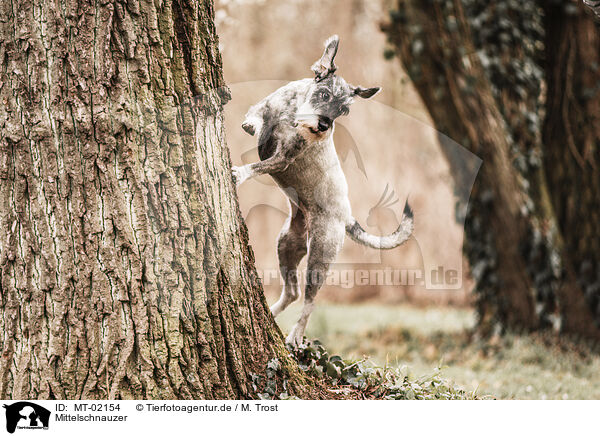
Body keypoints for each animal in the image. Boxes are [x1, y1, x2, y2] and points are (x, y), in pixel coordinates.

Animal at [232, 35, 414, 346]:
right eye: (325, 95)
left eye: (345, 110)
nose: (323, 126)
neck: (292, 114)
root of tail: (347, 217)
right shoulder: (265, 107)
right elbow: (256, 116)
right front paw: (254, 126)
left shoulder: (284, 157)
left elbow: (258, 165)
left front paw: (240, 173)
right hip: (286, 246)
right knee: (292, 292)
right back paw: (271, 313)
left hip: (319, 257)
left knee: (309, 301)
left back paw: (294, 336)